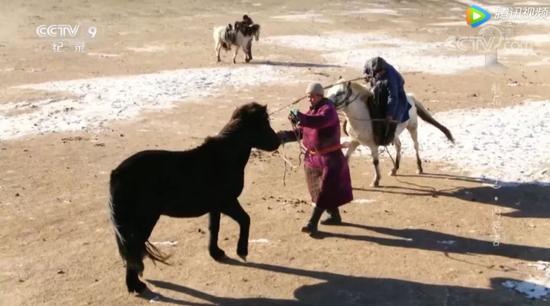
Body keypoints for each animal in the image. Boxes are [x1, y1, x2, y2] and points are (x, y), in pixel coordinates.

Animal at [109, 102, 280, 292]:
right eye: (264, 124)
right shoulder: (227, 202)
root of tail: (117, 173)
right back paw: (136, 286)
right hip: (143, 220)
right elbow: (245, 220)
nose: (278, 141)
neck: (226, 157)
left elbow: (214, 229)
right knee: (134, 247)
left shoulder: (215, 207)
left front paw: (216, 253)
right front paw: (242, 251)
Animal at [326, 81, 454, 186]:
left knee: (416, 145)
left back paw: (419, 167)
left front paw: (376, 180)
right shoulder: (354, 141)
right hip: (394, 133)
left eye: (340, 93)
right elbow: (346, 158)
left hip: (412, 128)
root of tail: (410, 98)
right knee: (399, 145)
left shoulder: (373, 145)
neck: (362, 117)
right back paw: (394, 169)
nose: (326, 104)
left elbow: (375, 162)